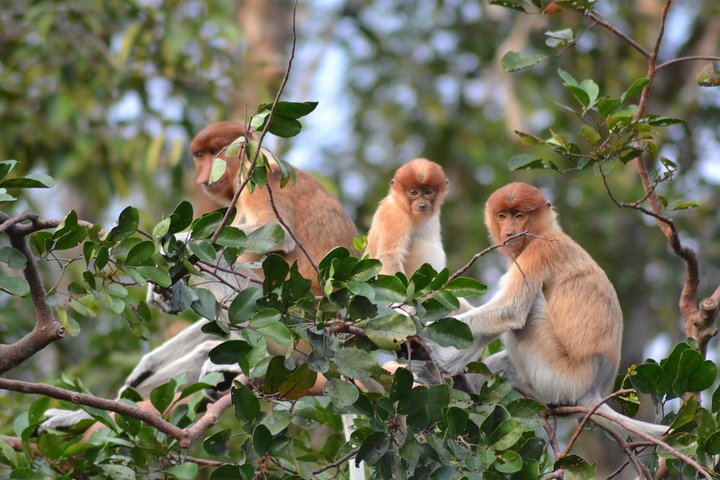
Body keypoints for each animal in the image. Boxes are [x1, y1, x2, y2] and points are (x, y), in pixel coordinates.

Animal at [423, 182, 668, 438]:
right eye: (502, 216)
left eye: (519, 216)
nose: (509, 233)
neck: (547, 230)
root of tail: (592, 391)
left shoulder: (540, 249)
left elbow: (510, 309)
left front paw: (421, 327)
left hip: (558, 379)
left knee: (527, 311)